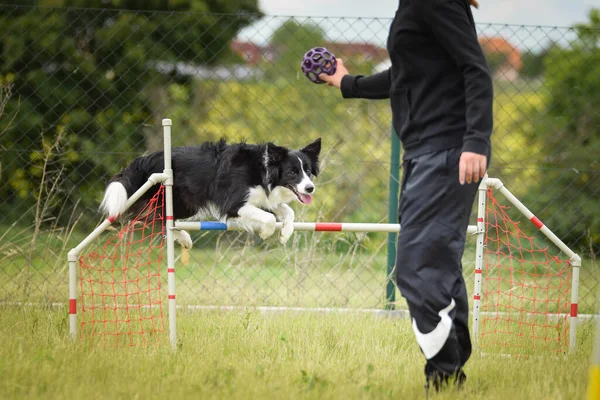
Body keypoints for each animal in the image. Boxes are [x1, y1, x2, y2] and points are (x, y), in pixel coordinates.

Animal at [101, 139, 322, 248]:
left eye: (308, 171)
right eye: (293, 172)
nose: (310, 188)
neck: (263, 170)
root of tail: (147, 158)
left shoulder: (264, 198)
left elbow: (287, 212)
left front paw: (284, 234)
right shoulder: (235, 203)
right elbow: (268, 218)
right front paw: (266, 232)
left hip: (184, 204)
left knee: (160, 217)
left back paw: (183, 238)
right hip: (178, 198)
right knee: (153, 217)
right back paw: (183, 237)